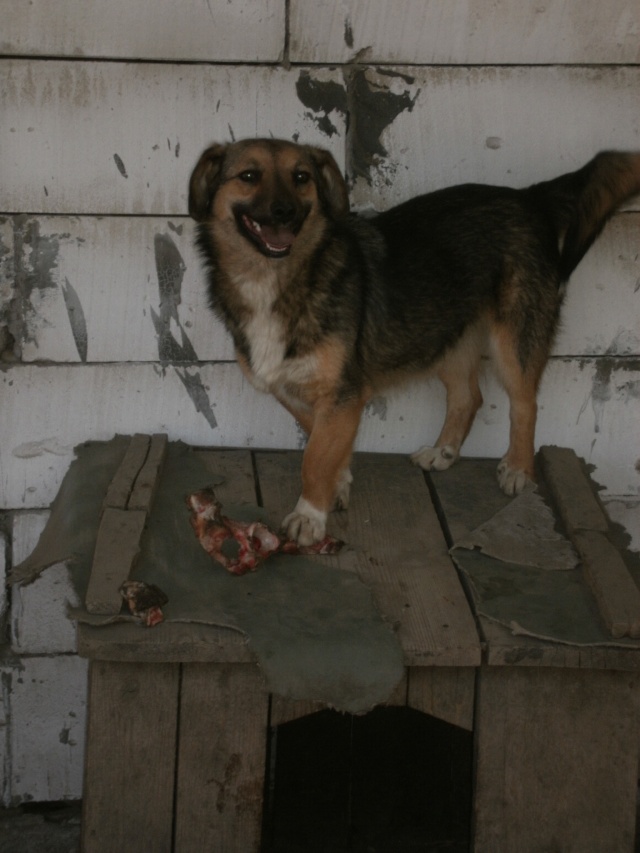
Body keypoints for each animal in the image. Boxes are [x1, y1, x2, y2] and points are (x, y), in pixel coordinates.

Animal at [189, 136, 640, 544]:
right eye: (249, 176)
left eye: (301, 178)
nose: (285, 212)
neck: (275, 280)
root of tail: (530, 199)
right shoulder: (300, 391)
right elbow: (322, 441)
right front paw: (339, 483)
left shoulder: (342, 393)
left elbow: (315, 457)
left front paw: (310, 515)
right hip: (447, 333)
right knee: (468, 397)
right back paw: (444, 452)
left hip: (514, 340)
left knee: (524, 403)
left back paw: (517, 467)